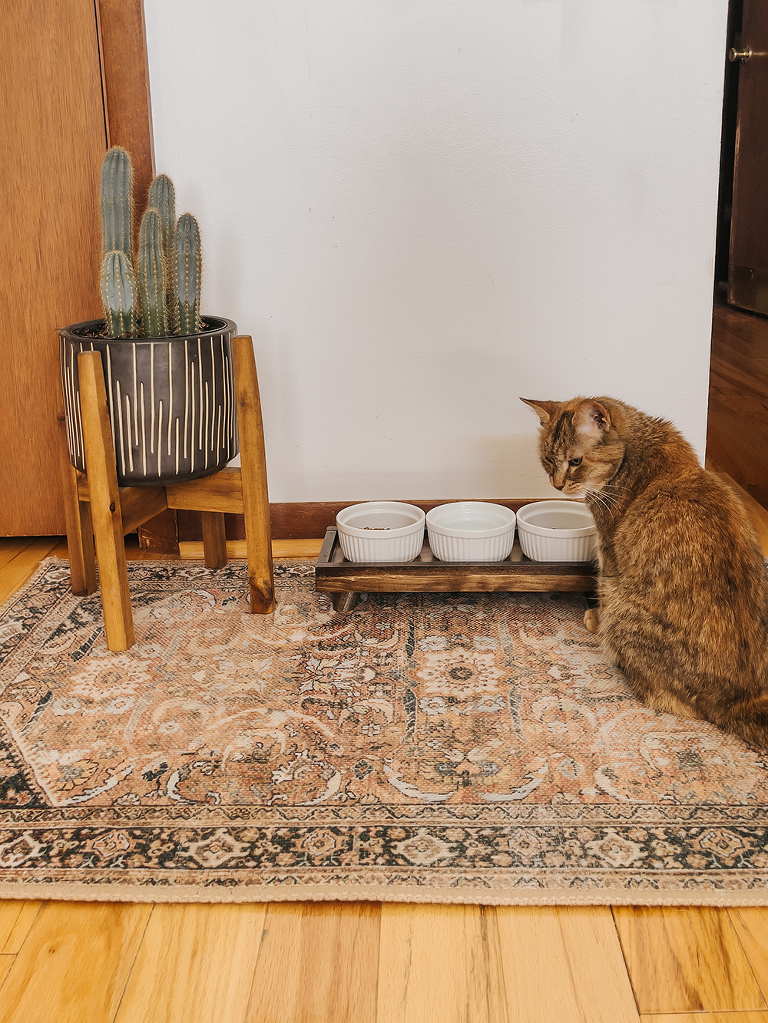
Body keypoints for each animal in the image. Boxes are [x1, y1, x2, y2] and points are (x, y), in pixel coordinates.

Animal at [523, 394, 768, 748]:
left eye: (575, 461)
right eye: (547, 460)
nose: (557, 485)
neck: (639, 450)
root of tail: (741, 700)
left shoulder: (608, 547)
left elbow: (601, 585)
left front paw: (594, 616)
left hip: (625, 612)